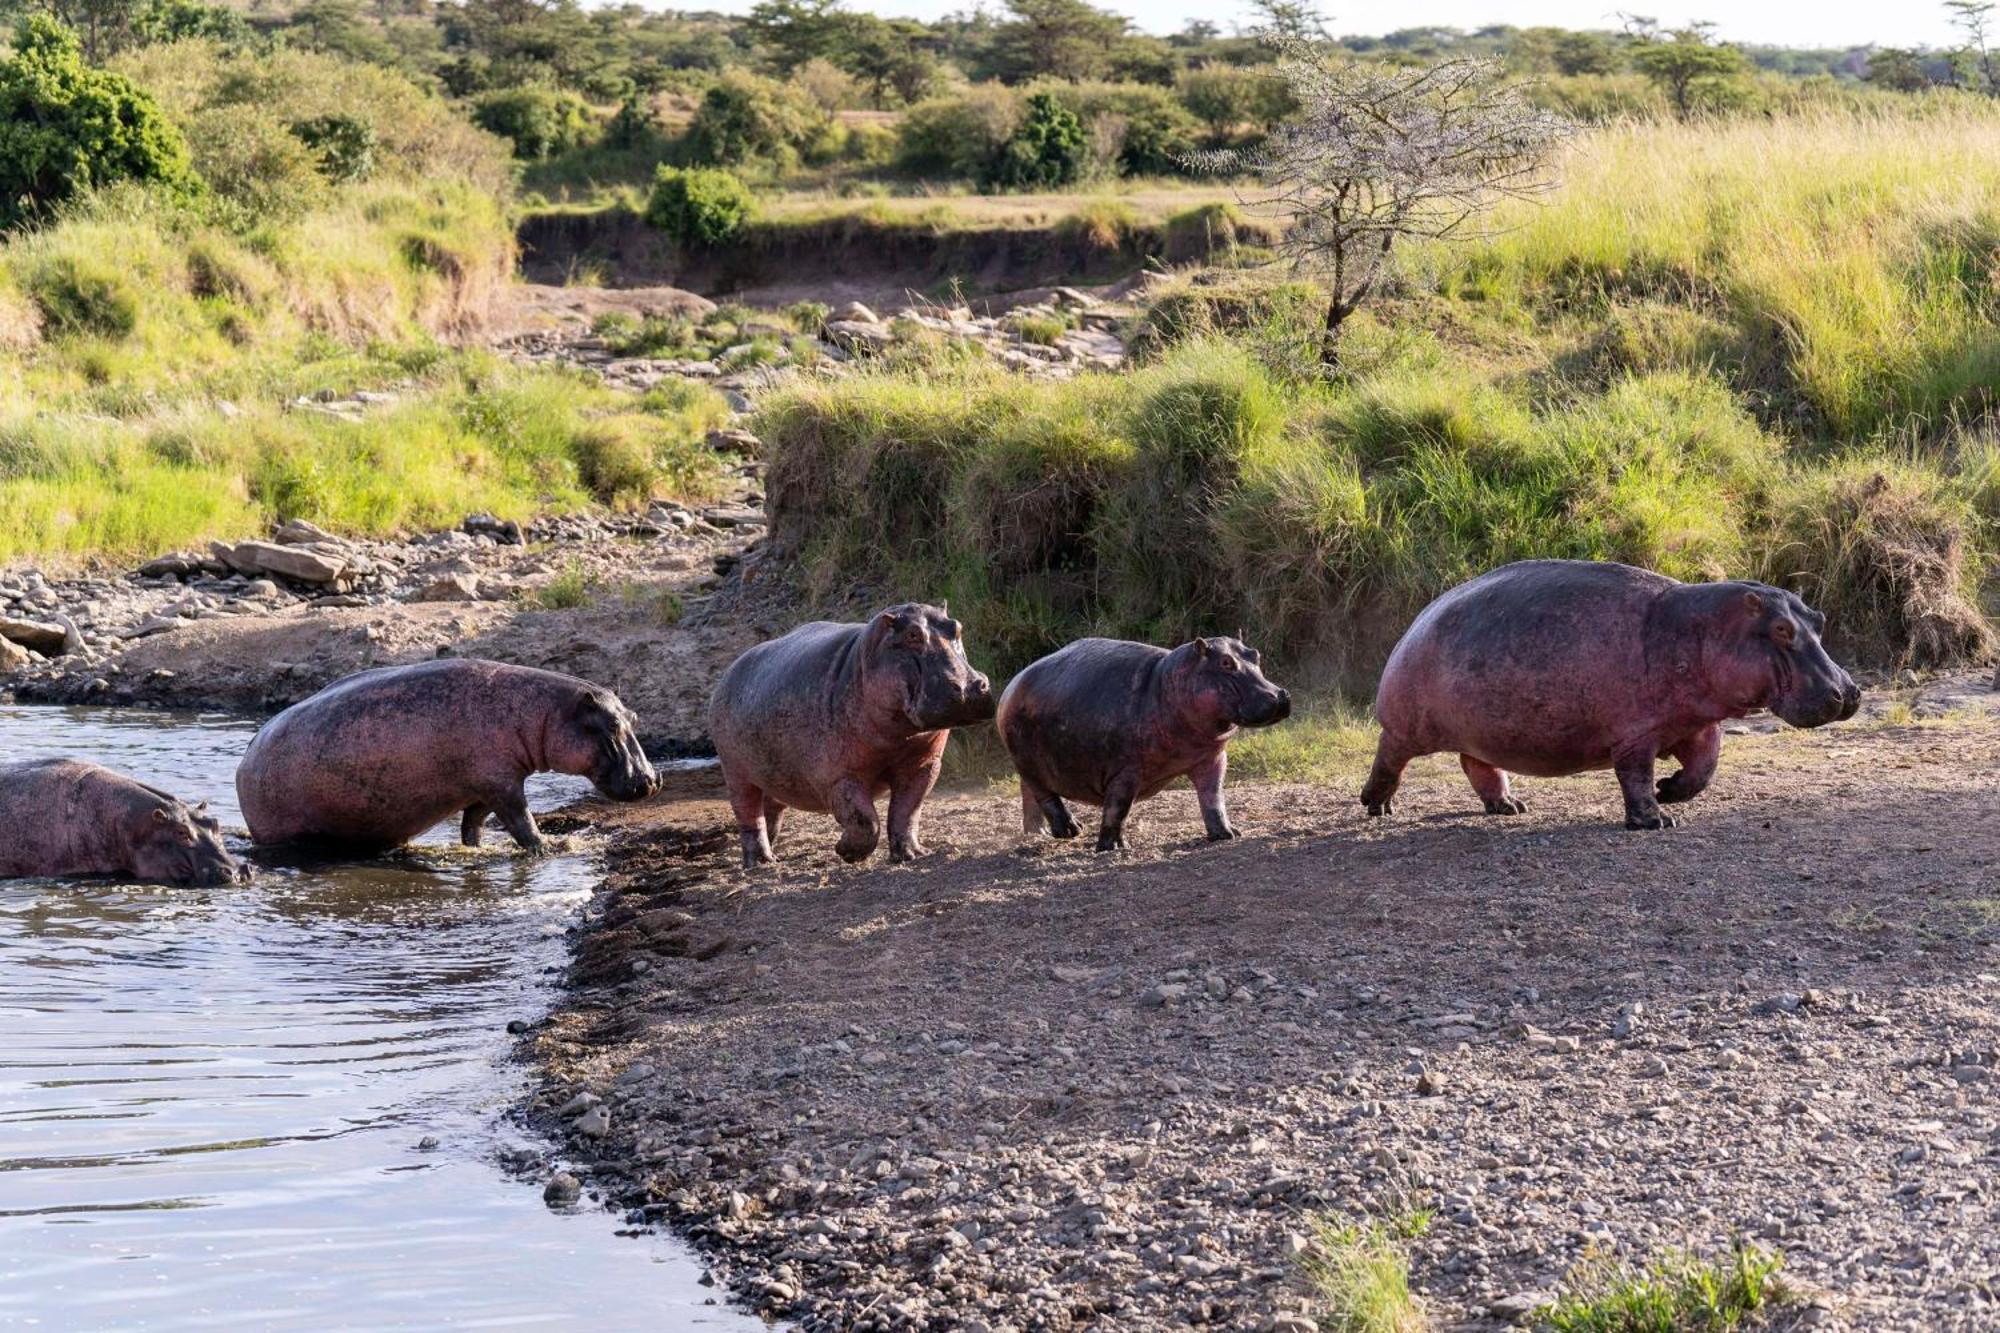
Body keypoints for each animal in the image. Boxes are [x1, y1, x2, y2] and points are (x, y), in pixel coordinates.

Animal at [234, 652, 656, 852]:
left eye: (633, 717)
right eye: (612, 726)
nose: (652, 780)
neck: (545, 712)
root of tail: (243, 764)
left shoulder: (483, 789)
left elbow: (474, 825)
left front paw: (477, 847)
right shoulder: (502, 784)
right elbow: (522, 821)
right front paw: (553, 846)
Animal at [712, 604, 1000, 872]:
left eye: (957, 627)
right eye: (912, 635)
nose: (966, 688)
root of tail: (726, 675)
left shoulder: (923, 764)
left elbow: (907, 811)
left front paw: (912, 855)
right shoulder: (841, 775)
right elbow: (866, 821)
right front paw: (845, 851)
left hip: (773, 774)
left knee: (770, 810)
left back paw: (773, 854)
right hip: (736, 773)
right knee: (749, 814)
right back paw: (760, 862)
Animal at [1000, 636, 1296, 852]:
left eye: (1255, 654)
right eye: (1225, 662)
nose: (1279, 695)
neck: (1169, 684)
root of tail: (1013, 683)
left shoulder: (1211, 759)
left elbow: (1213, 798)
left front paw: (1227, 834)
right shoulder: (1126, 771)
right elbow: (1117, 808)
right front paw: (1112, 848)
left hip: (1032, 766)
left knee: (1029, 793)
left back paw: (1037, 832)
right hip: (1029, 763)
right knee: (1047, 796)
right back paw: (1070, 830)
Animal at [1360, 556, 1856, 824]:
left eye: (1818, 619)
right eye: (1781, 629)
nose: (1847, 692)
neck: (1706, 630)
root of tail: (1421, 617)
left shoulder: (1696, 724)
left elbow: (1704, 770)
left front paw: (1670, 790)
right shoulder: (1637, 733)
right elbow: (1634, 776)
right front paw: (1656, 818)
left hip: (1483, 732)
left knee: (1477, 764)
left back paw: (1510, 806)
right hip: (1406, 727)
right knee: (1389, 760)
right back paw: (1376, 806)